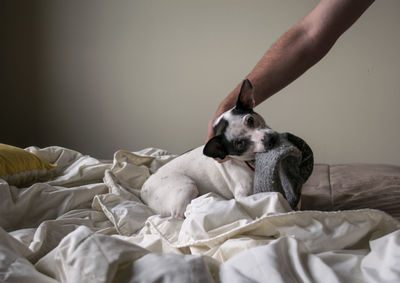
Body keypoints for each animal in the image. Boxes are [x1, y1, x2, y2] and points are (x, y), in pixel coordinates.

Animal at [141, 80, 278, 220]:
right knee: (179, 216)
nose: (269, 139)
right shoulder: (244, 195)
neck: (250, 163)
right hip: (187, 187)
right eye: (239, 144)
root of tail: (143, 189)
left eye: (250, 120)